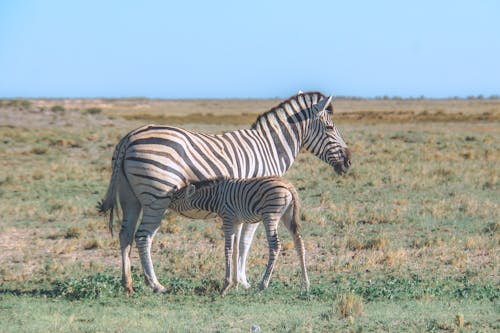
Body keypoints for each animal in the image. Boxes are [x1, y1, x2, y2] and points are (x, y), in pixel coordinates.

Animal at [169, 175, 308, 294]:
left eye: (175, 198)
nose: (166, 205)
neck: (216, 197)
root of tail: (288, 185)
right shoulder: (237, 221)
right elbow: (236, 249)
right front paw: (235, 284)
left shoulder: (228, 218)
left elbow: (228, 249)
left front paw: (226, 285)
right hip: (287, 216)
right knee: (299, 242)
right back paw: (306, 284)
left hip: (270, 215)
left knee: (275, 246)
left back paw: (263, 285)